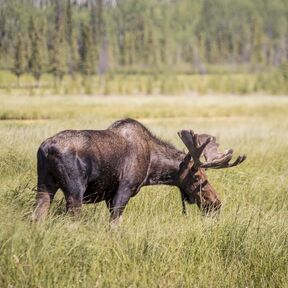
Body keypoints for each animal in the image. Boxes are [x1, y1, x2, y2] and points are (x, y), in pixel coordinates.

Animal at [32, 118, 246, 224]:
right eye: (198, 176)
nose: (216, 203)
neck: (152, 168)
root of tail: (46, 149)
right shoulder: (124, 188)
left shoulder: (110, 195)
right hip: (74, 192)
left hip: (44, 185)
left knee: (37, 216)